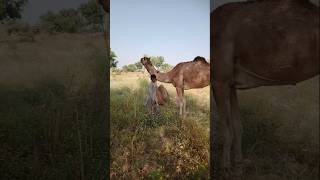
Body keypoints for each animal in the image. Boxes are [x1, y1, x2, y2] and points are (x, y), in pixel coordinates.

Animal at [211, 0, 318, 177]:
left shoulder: (219, 80)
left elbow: (226, 128)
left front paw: (225, 168)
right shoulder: (230, 83)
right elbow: (237, 126)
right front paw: (238, 167)